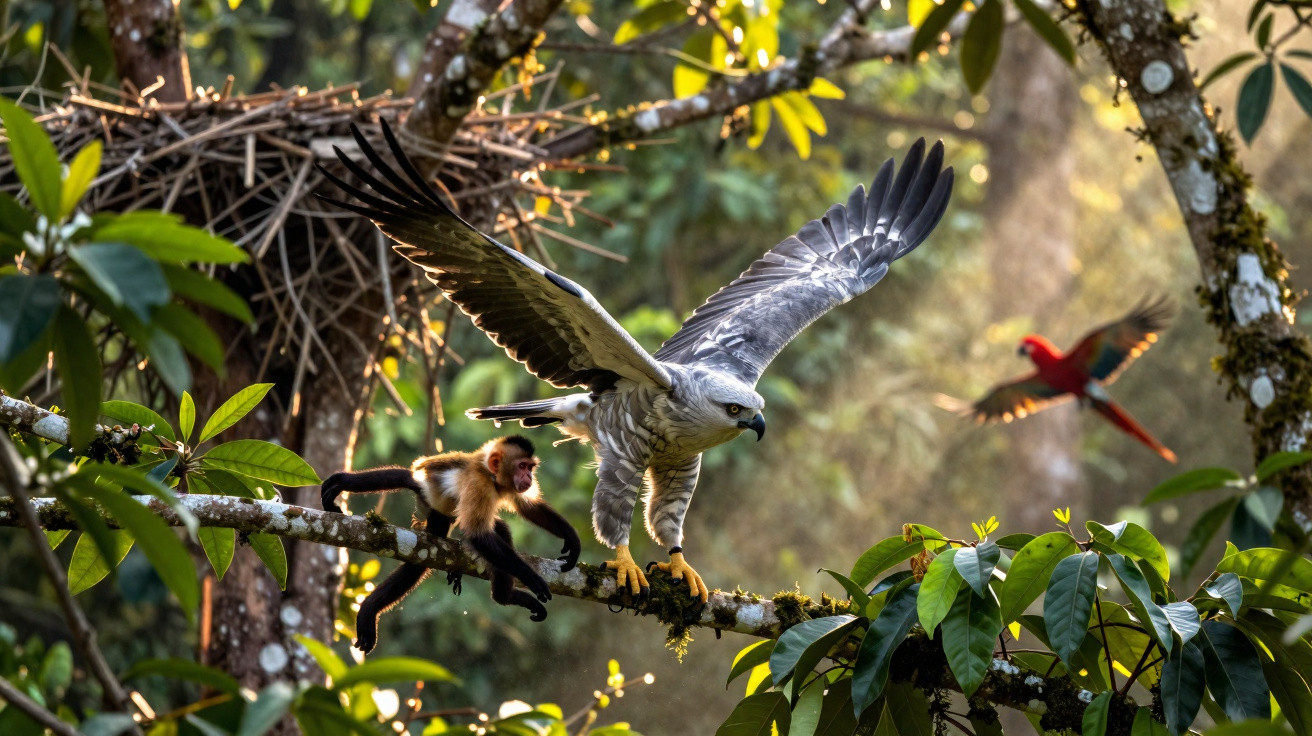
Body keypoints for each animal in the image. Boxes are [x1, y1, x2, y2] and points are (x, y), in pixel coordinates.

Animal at [319, 436, 581, 654]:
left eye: (530, 468)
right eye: (522, 466)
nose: (529, 478)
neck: (492, 478)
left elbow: (529, 508)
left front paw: (572, 540)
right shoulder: (478, 484)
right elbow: (478, 537)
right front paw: (533, 579)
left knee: (497, 530)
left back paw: (504, 595)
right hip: (429, 498)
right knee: (420, 553)